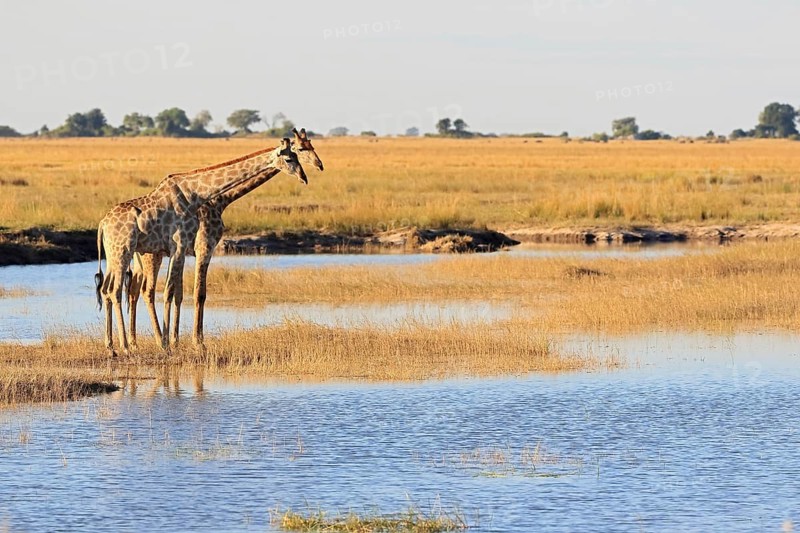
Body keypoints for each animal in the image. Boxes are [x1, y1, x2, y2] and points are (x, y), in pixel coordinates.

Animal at [94, 138, 308, 356]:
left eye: (299, 155)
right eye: (290, 158)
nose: (304, 178)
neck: (196, 195)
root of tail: (102, 224)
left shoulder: (179, 249)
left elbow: (177, 293)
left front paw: (173, 342)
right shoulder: (184, 246)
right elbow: (173, 292)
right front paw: (170, 344)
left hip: (115, 255)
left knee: (107, 289)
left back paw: (111, 346)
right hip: (125, 252)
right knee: (118, 290)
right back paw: (126, 347)